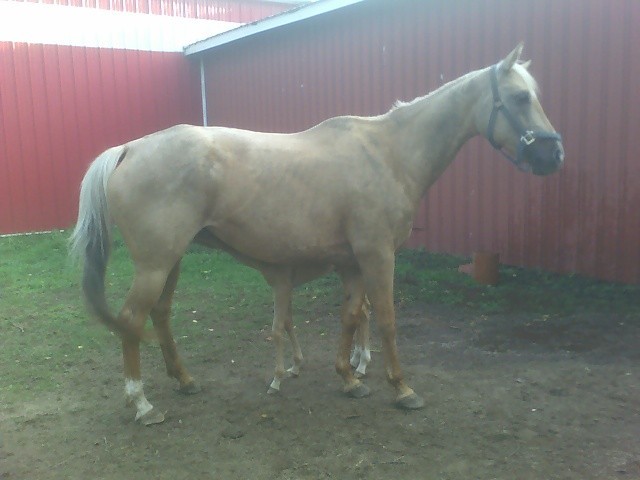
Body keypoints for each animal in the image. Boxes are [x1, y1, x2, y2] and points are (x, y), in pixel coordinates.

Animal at [70, 43, 563, 425]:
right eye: (520, 97)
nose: (553, 155)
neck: (388, 154)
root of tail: (130, 149)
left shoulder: (352, 263)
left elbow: (350, 317)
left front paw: (349, 377)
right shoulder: (378, 256)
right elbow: (386, 319)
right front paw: (402, 389)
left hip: (171, 259)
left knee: (160, 315)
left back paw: (185, 381)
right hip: (155, 263)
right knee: (132, 320)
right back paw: (142, 404)